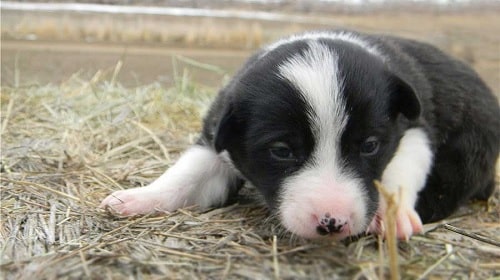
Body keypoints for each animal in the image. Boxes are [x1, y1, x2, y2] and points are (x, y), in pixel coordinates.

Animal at [101, 30, 500, 241]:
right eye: (281, 150)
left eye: (370, 146)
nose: (332, 222)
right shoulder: (217, 139)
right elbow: (186, 175)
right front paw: (139, 197)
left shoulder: (413, 129)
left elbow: (400, 169)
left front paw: (393, 212)